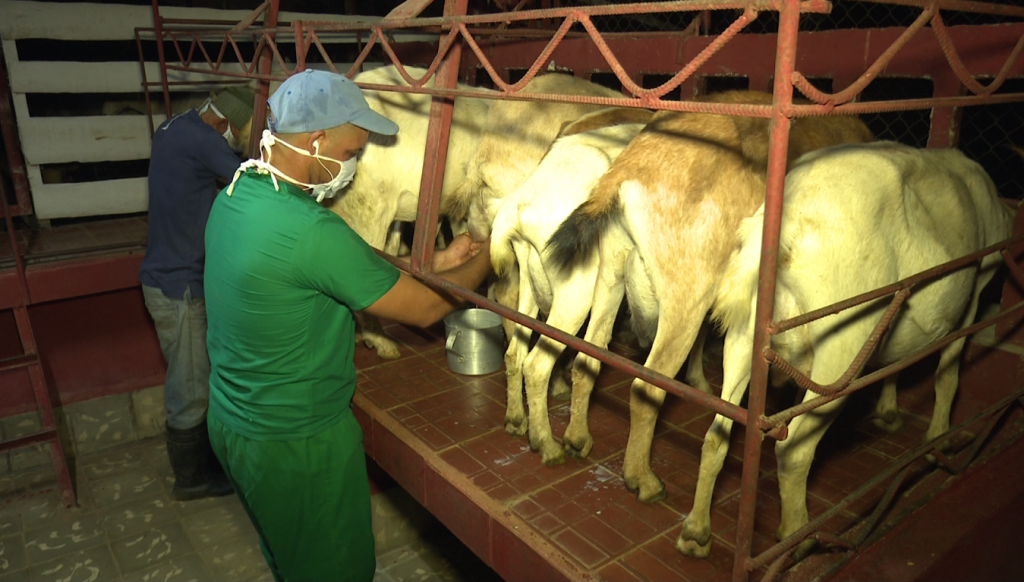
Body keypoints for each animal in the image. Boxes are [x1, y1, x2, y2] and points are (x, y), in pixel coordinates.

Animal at [679, 141, 1015, 557]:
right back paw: (798, 537)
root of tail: (791, 217)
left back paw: (696, 531)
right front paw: (940, 438)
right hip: (842, 344)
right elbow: (948, 373)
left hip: (745, 333)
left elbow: (893, 365)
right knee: (794, 450)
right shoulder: (972, 293)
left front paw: (889, 411)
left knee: (717, 434)